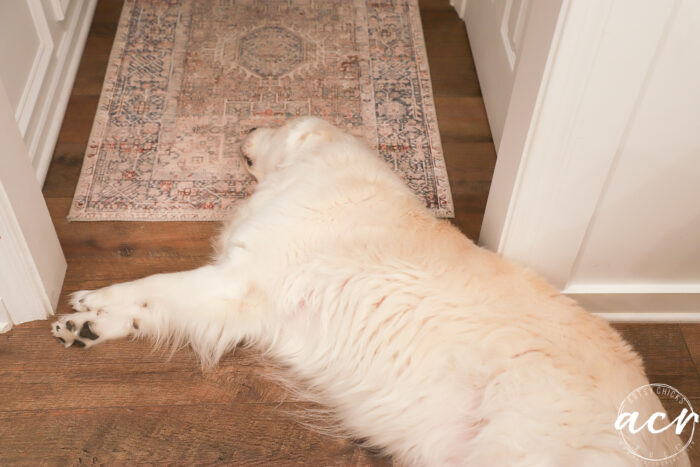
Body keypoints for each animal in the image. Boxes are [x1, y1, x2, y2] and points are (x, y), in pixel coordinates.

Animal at [53, 118, 688, 467]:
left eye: (278, 123)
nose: (246, 126)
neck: (319, 166)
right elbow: (152, 300)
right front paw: (89, 326)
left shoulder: (237, 282)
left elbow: (151, 286)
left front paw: (93, 305)